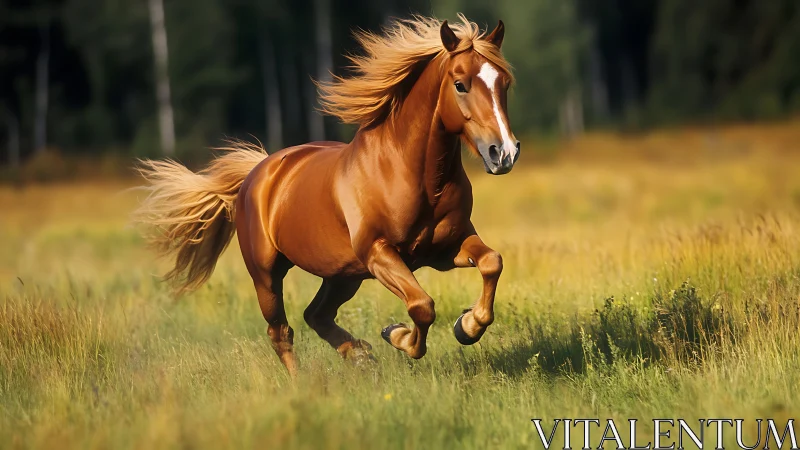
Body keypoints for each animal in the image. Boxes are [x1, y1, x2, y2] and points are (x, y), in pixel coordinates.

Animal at [135, 15, 520, 375]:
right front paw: (396, 334)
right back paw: (305, 383)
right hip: (267, 275)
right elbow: (421, 306)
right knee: (282, 332)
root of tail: (258, 173)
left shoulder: (445, 247)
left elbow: (492, 262)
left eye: (505, 83)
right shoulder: (379, 253)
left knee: (315, 315)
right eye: (460, 84)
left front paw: (467, 326)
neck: (413, 176)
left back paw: (360, 356)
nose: (504, 153)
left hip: (342, 275)